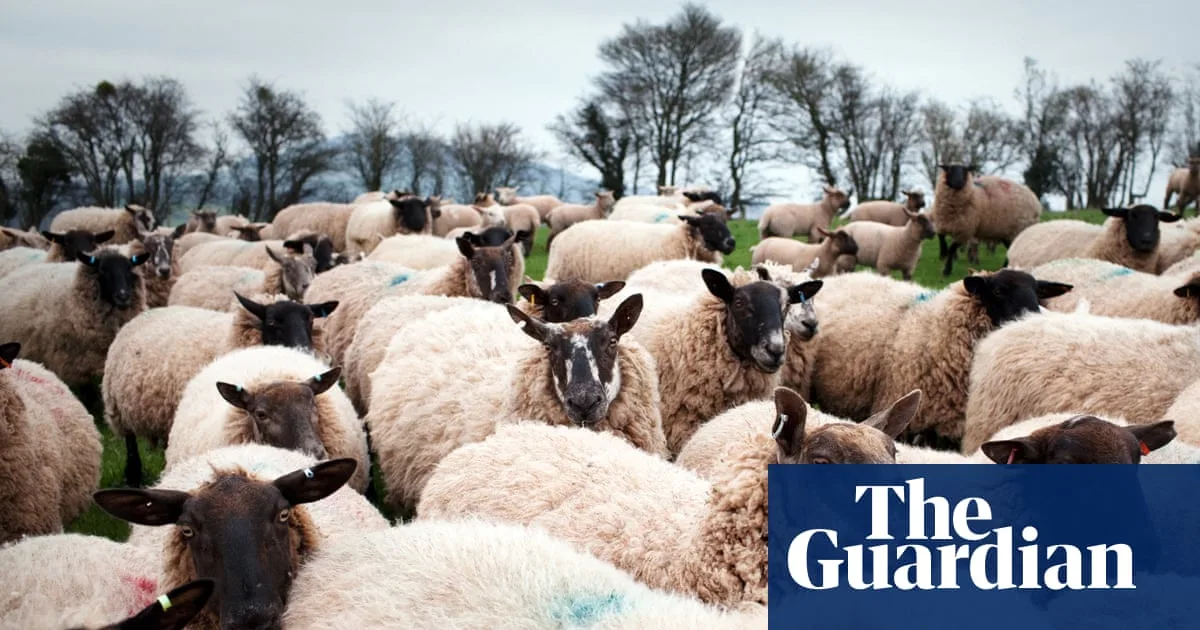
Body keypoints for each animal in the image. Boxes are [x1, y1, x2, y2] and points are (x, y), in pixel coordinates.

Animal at [102, 294, 338, 486]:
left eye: (310, 320)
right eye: (272, 322)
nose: (304, 350)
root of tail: (147, 312)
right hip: (119, 409)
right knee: (130, 444)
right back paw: (133, 476)